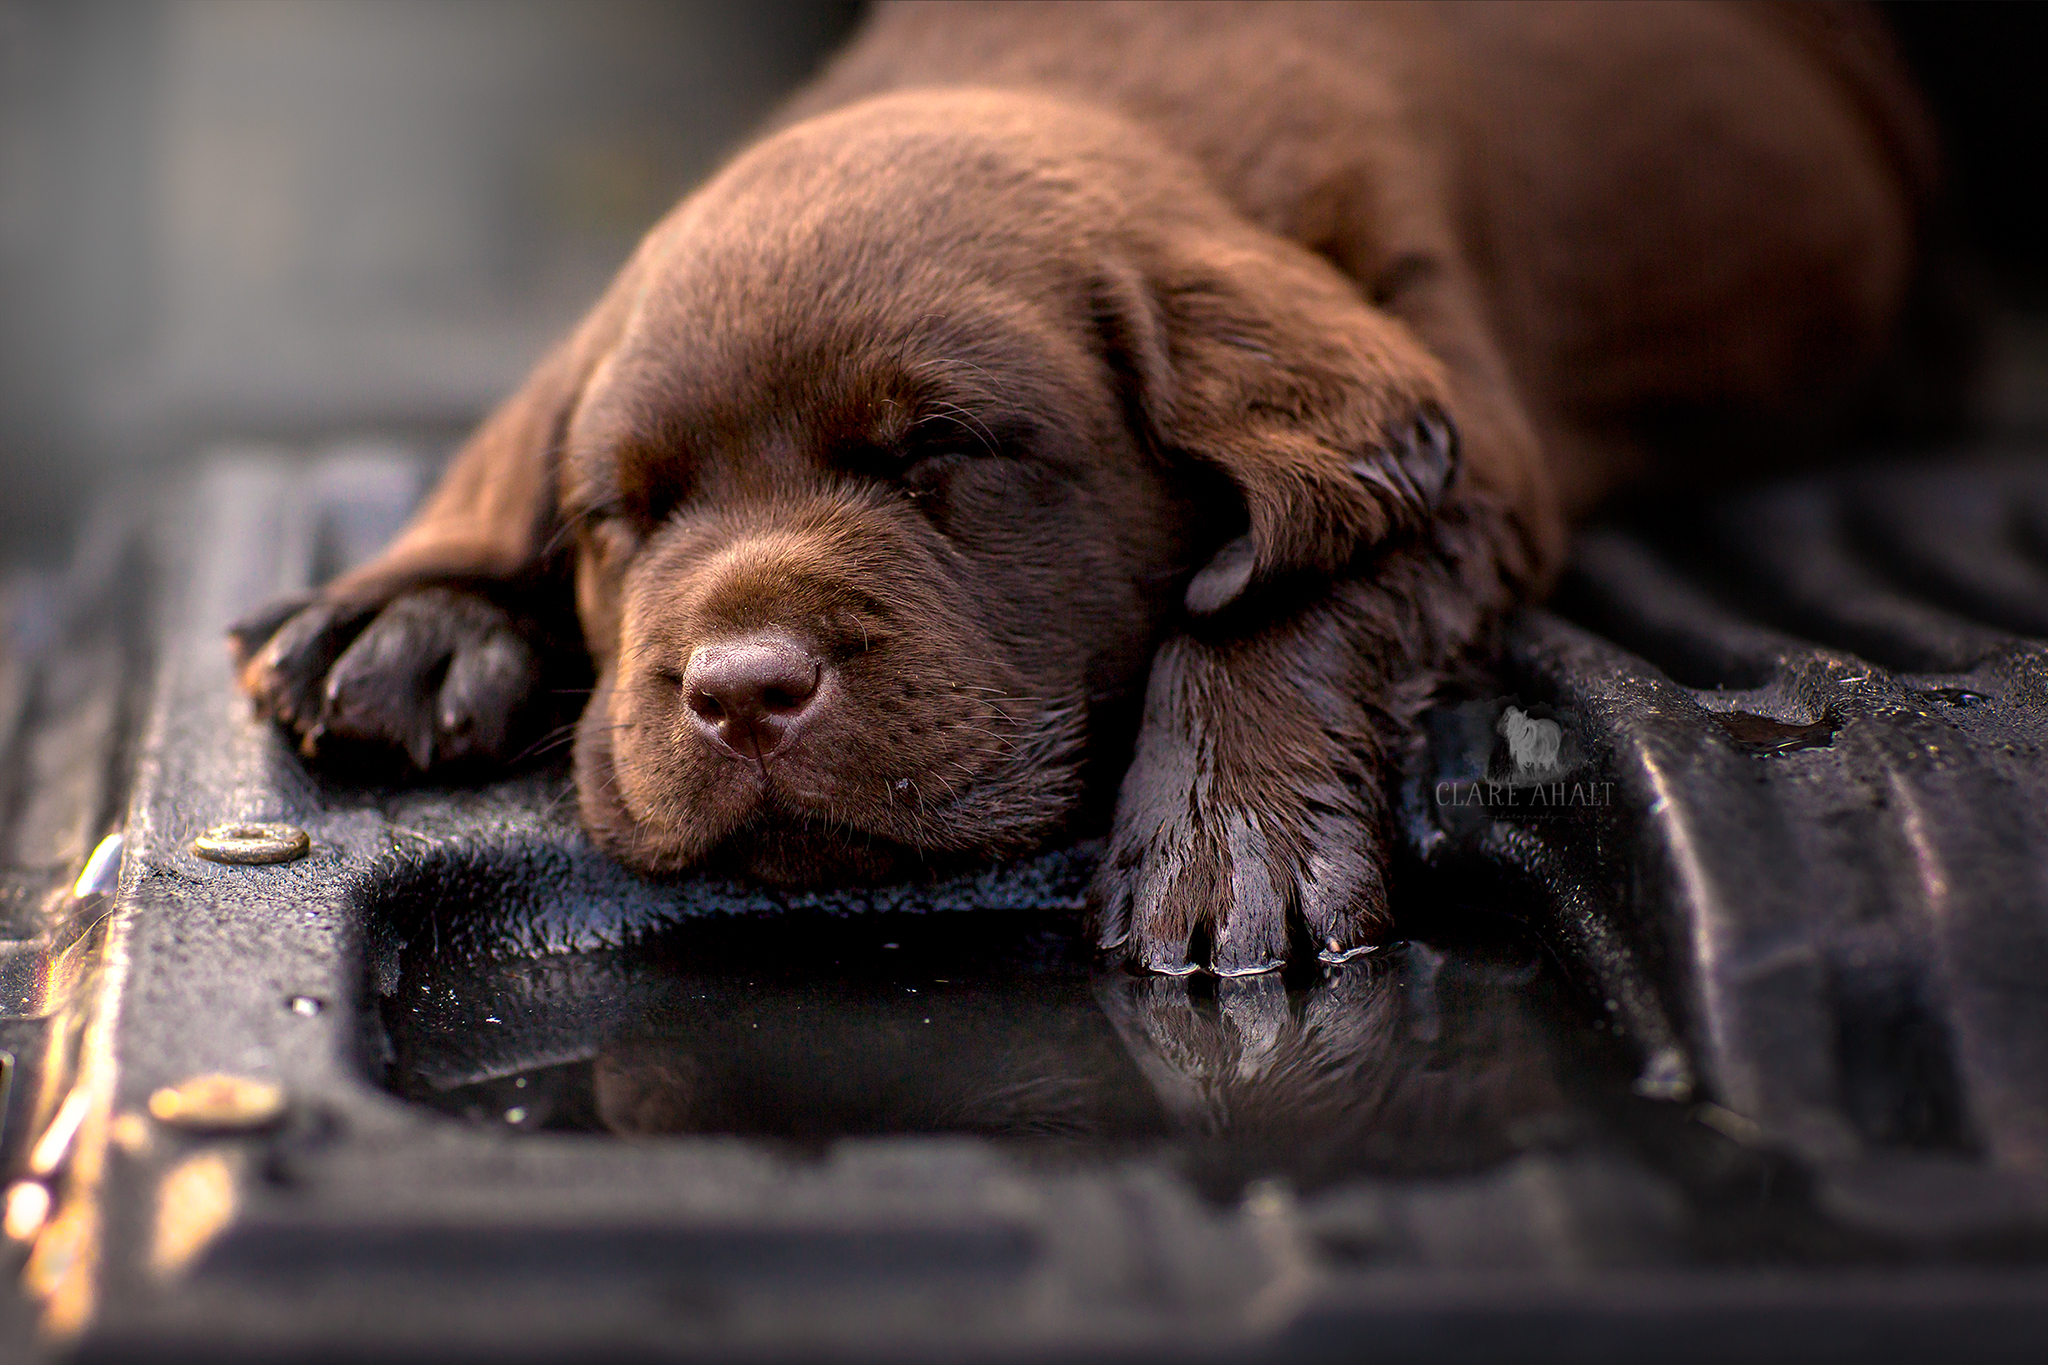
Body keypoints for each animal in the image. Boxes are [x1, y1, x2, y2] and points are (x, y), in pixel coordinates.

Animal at [228, 5, 1933, 978]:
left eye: (940, 455)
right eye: (624, 514)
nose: (739, 695)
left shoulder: (1465, 428)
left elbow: (1296, 587)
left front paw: (1228, 841)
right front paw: (418, 621)